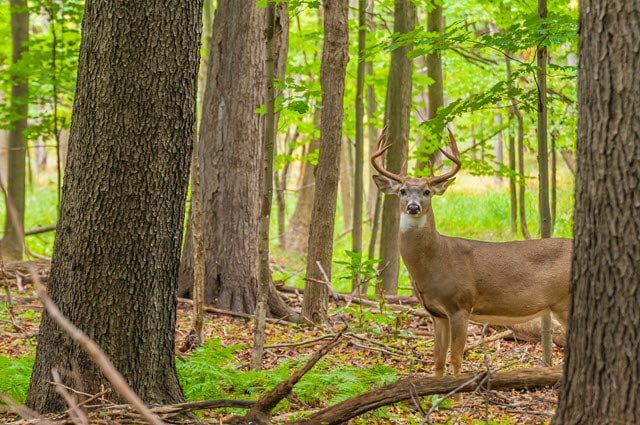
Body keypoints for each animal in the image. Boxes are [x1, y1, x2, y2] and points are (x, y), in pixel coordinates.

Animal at [372, 126, 572, 398]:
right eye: (402, 190)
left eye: (427, 192)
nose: (413, 207)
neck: (436, 261)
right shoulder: (436, 312)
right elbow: (437, 358)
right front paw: (435, 396)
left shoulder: (460, 304)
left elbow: (456, 357)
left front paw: (455, 397)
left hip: (564, 301)